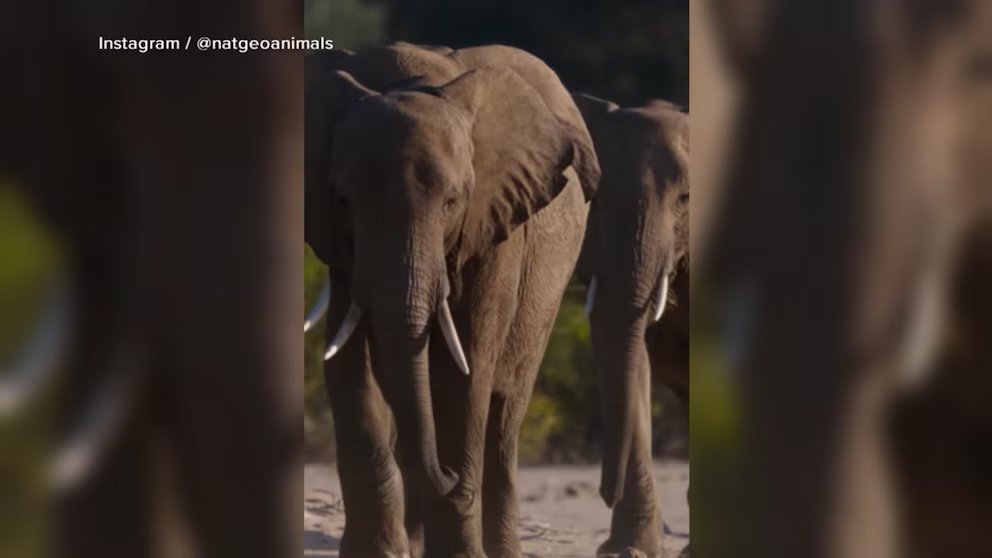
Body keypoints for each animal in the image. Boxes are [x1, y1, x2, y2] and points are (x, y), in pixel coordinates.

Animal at [303, 43, 600, 557]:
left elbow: (464, 372)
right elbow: (350, 367)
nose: (447, 472)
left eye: (453, 202)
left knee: (503, 415)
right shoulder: (343, 250)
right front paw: (379, 552)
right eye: (343, 201)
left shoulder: (496, 222)